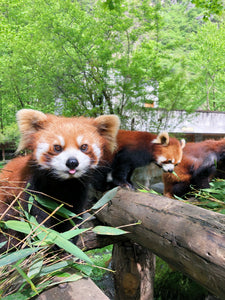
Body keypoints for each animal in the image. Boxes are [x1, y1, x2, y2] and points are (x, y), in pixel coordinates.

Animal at [0, 109, 119, 250]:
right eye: (57, 147)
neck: (63, 183)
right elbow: (37, 215)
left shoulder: (78, 191)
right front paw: (45, 238)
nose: (72, 162)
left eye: (84, 147)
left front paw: (69, 239)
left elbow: (73, 215)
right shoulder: (33, 188)